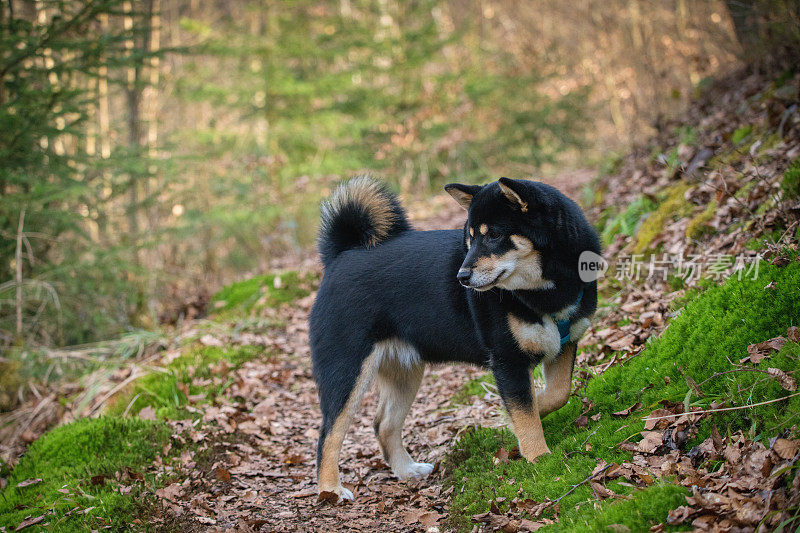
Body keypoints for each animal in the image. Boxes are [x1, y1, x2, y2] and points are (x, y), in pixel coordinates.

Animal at [310, 177, 596, 500]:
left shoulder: (565, 345)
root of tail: (340, 257)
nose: (462, 277)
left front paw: (523, 412)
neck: (544, 292)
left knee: (383, 425)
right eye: (470, 238)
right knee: (328, 434)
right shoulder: (507, 361)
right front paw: (539, 459)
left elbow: (557, 394)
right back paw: (331, 490)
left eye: (494, 235)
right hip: (347, 372)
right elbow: (526, 414)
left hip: (404, 373)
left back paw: (407, 471)